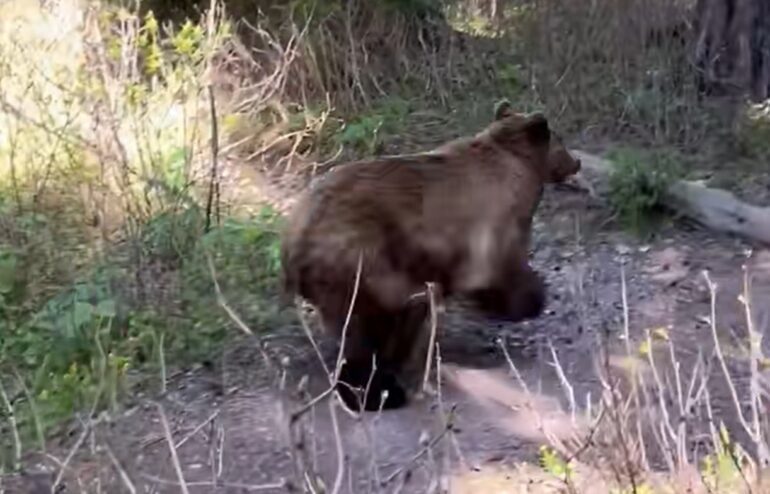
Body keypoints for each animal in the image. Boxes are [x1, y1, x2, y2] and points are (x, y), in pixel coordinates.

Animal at [280, 101, 582, 412]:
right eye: (560, 142)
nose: (576, 162)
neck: (518, 165)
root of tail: (295, 238)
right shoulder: (492, 222)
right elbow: (501, 271)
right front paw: (528, 301)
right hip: (361, 257)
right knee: (367, 327)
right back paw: (379, 391)